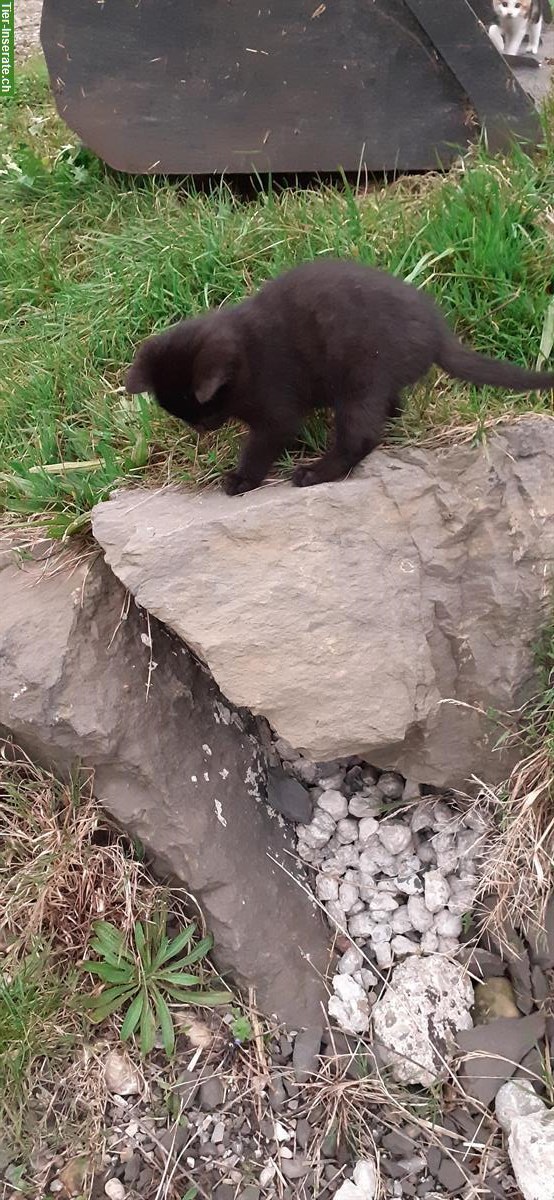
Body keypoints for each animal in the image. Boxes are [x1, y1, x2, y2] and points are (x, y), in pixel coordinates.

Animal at [125, 260, 554, 494]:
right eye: (184, 415)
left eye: (203, 408)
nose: (202, 428)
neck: (246, 355)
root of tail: (438, 335)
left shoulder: (278, 410)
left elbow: (262, 445)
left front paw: (241, 479)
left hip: (360, 378)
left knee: (360, 438)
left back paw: (314, 472)